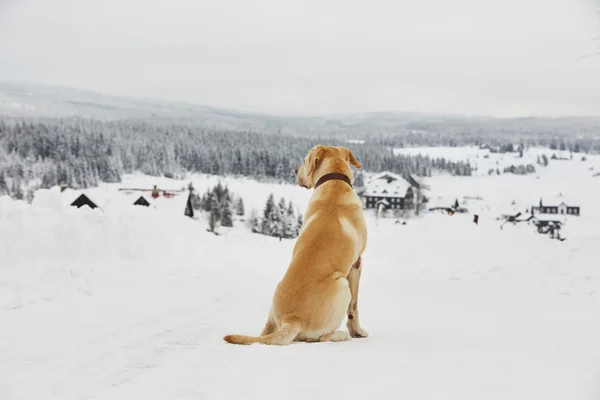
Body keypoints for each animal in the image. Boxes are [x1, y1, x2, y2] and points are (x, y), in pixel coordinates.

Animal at [223, 145, 368, 346]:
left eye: (304, 160)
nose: (295, 170)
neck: (334, 183)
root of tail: (292, 320)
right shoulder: (356, 264)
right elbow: (354, 307)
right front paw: (357, 331)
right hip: (342, 284)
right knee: (323, 337)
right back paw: (341, 335)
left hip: (274, 301)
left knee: (266, 330)